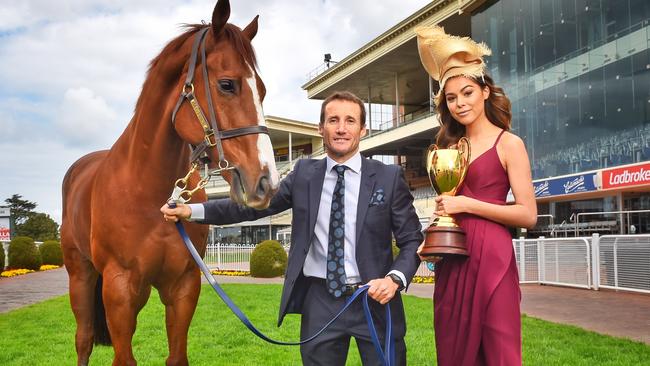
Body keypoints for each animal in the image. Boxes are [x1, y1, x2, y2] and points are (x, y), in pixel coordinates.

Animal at [57, 1, 276, 364]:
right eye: (227, 84)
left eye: (262, 90)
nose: (266, 181)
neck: (146, 190)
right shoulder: (118, 289)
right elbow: (122, 357)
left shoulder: (183, 286)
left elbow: (176, 355)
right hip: (81, 276)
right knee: (83, 339)